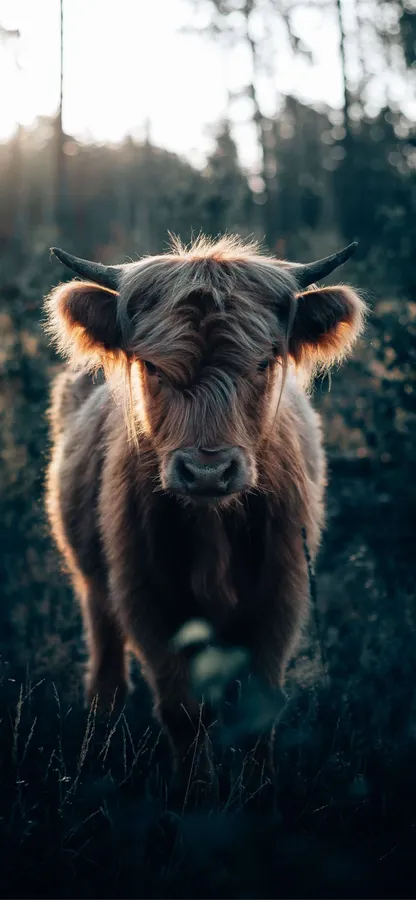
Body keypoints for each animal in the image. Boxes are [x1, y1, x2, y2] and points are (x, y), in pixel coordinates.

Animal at [44, 235, 365, 804]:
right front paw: (196, 797)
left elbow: (258, 705)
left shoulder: (282, 591)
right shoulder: (145, 594)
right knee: (107, 668)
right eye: (151, 368)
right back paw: (96, 749)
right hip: (92, 583)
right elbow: (183, 711)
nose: (208, 470)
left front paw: (259, 794)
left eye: (263, 364)